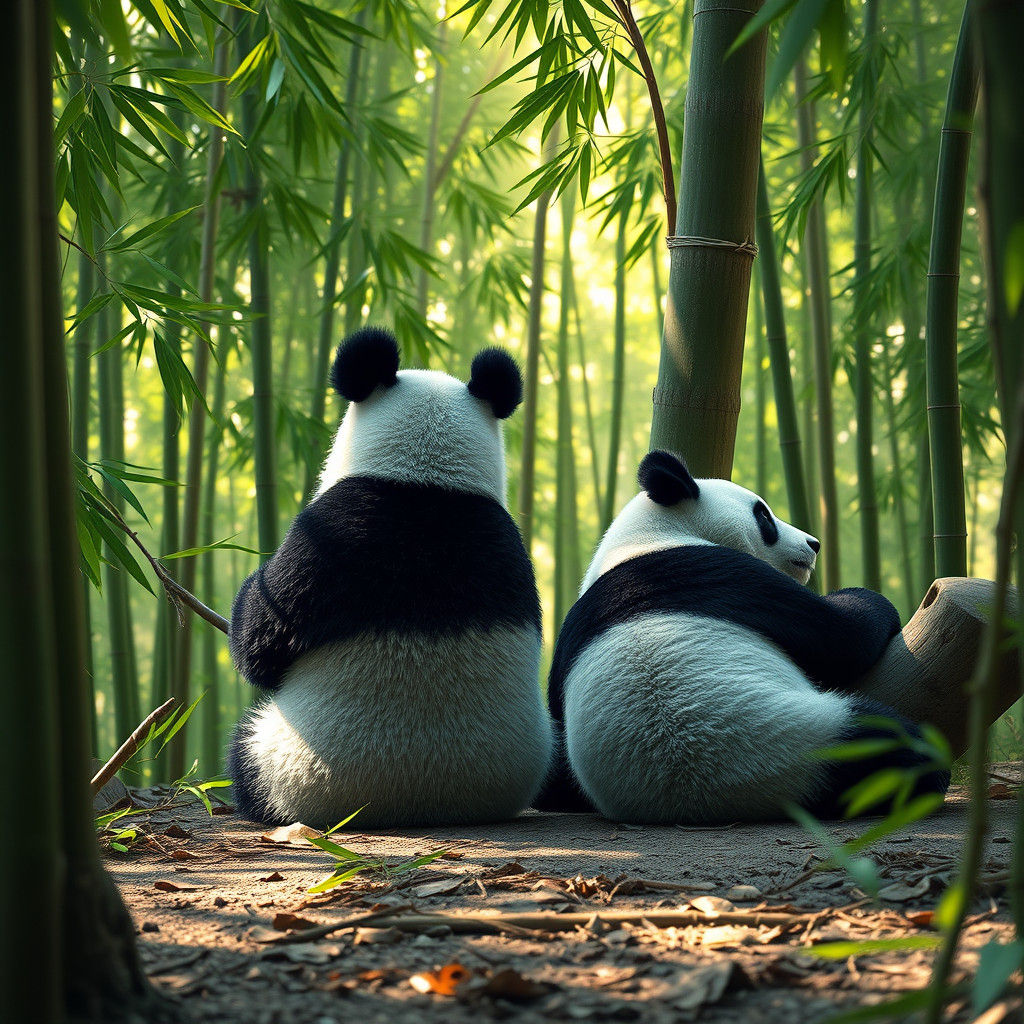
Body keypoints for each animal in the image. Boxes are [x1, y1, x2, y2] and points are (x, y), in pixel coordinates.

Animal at [227, 327, 552, 828]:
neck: (426, 479)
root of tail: (416, 802)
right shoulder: (513, 550)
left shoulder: (326, 536)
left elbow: (262, 641)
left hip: (293, 762)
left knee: (247, 753)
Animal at [538, 450, 949, 823]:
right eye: (763, 515)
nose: (814, 544)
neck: (647, 536)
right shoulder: (721, 572)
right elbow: (844, 636)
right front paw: (870, 600)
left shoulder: (571, 628)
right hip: (819, 738)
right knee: (894, 748)